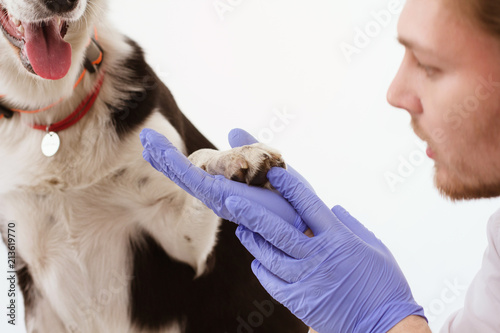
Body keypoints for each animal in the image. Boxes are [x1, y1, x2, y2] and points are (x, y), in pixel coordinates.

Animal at [0, 0, 308, 332]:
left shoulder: (186, 247)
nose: (63, 3)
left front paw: (234, 157)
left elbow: (195, 163)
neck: (51, 112)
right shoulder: (34, 277)